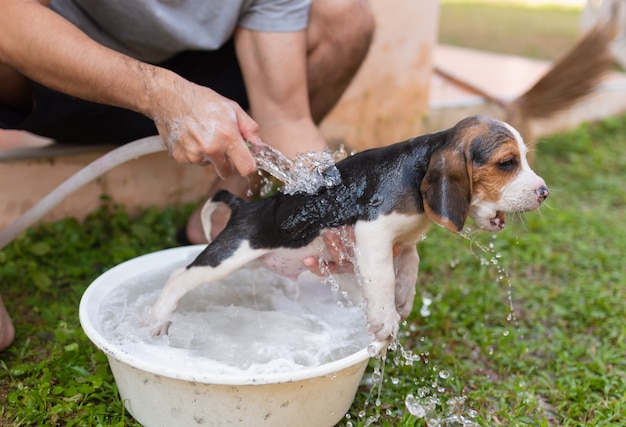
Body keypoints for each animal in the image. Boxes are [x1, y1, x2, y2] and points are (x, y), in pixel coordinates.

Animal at [150, 116, 544, 342]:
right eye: (507, 163)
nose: (544, 192)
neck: (417, 168)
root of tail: (245, 206)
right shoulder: (374, 233)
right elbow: (383, 276)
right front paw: (385, 318)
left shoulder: (404, 242)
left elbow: (410, 265)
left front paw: (404, 299)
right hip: (229, 253)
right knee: (179, 277)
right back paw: (157, 320)